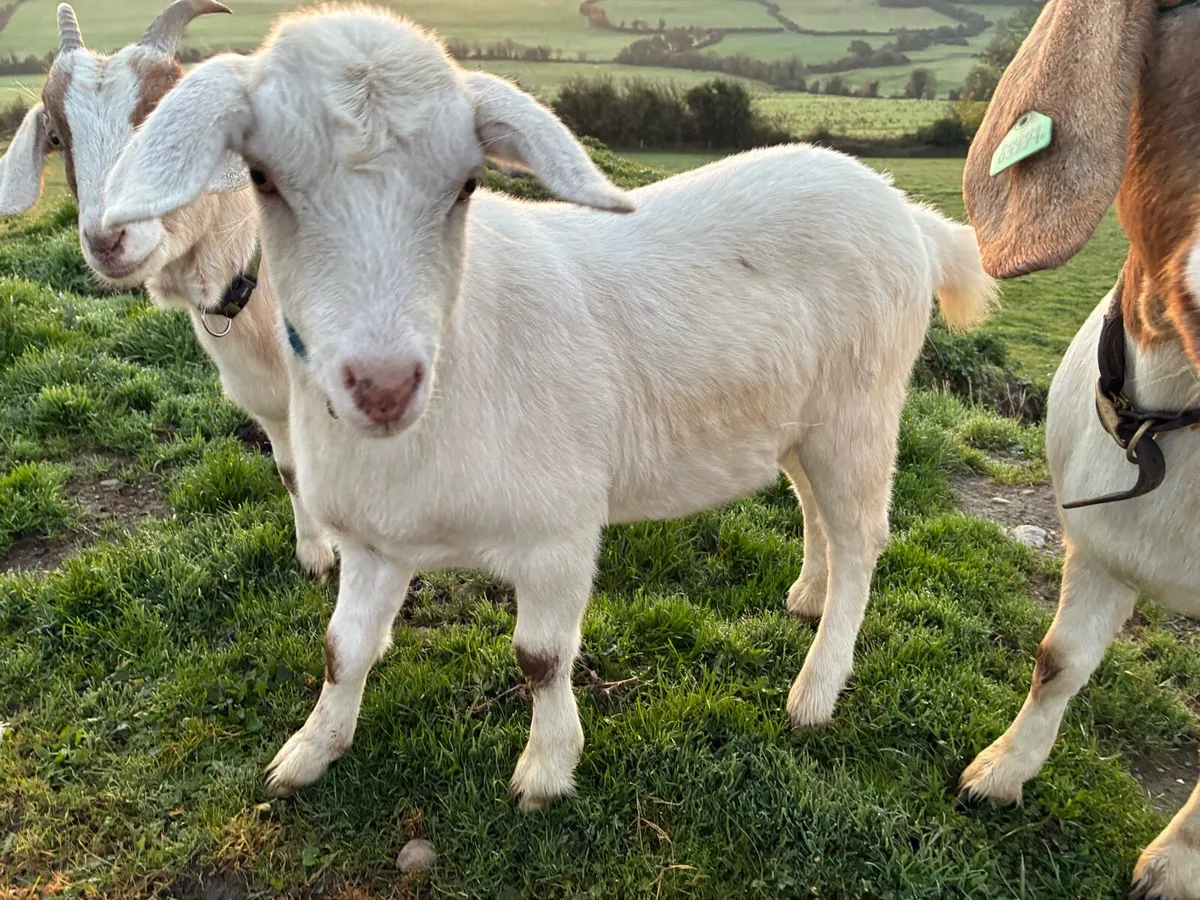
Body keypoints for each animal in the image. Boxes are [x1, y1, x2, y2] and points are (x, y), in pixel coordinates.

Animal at [100, 5, 997, 811]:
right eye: (263, 179)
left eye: (466, 185)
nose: (384, 385)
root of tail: (906, 213)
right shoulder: (372, 538)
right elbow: (341, 650)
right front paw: (309, 752)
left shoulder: (559, 532)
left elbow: (540, 657)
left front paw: (546, 770)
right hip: (798, 418)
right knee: (818, 512)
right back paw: (807, 593)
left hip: (861, 409)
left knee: (863, 542)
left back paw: (815, 688)